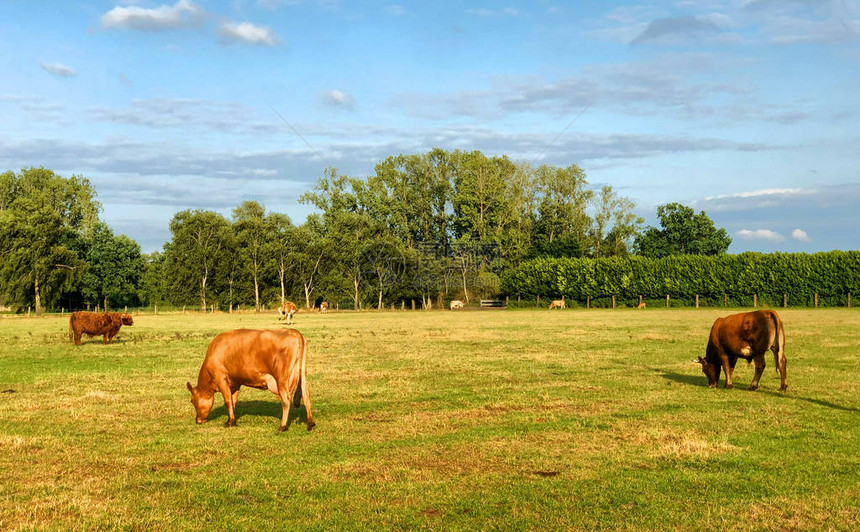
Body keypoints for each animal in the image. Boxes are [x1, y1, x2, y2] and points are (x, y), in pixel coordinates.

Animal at [186, 328, 316, 432]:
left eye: (192, 400)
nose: (198, 420)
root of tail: (293, 331)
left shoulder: (220, 377)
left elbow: (227, 400)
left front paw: (230, 422)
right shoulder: (235, 382)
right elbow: (233, 401)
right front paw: (230, 420)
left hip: (281, 378)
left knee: (286, 399)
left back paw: (282, 426)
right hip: (302, 374)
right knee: (306, 394)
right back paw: (310, 423)